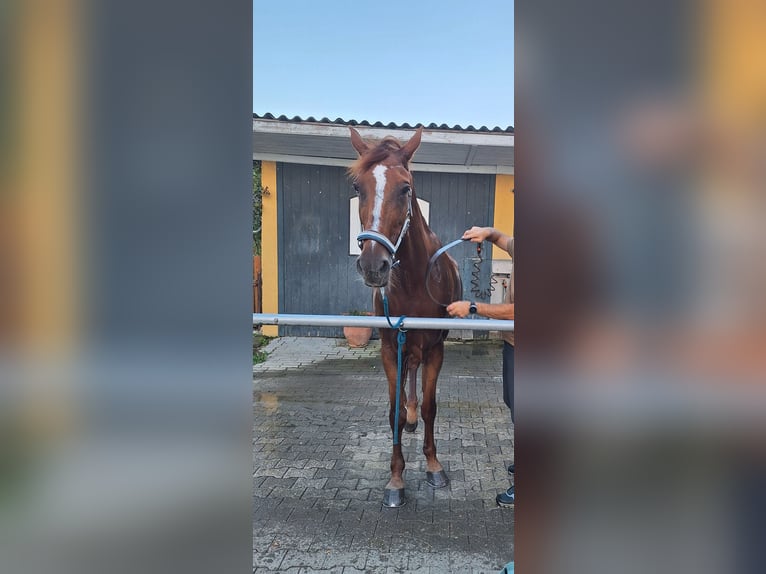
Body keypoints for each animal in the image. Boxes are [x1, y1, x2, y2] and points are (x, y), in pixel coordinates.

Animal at [348, 127, 462, 508]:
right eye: (358, 187)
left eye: (406, 188)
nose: (373, 266)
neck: (413, 281)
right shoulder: (388, 348)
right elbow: (393, 411)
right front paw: (396, 479)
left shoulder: (437, 349)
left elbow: (430, 407)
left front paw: (433, 466)